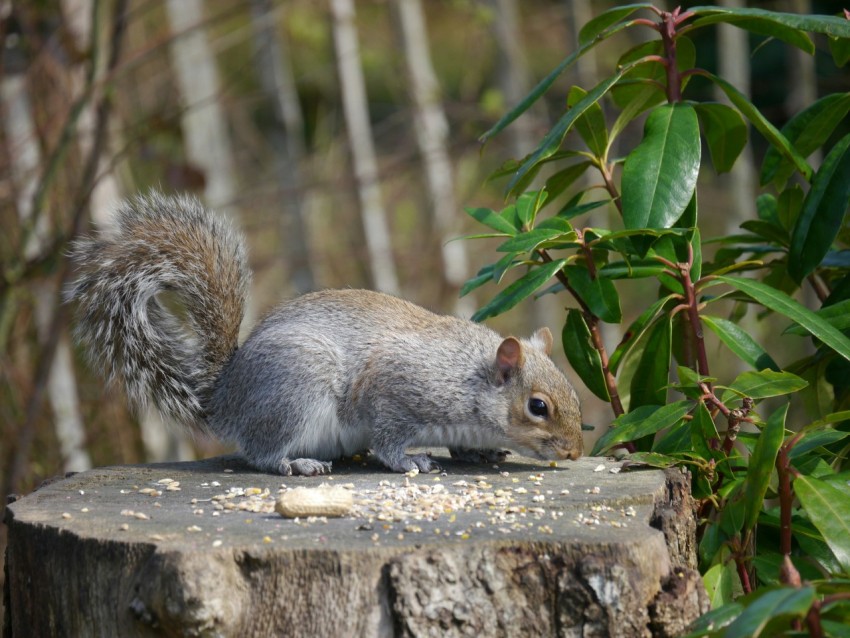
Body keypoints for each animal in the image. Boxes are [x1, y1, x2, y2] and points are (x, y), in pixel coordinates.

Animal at [68, 192, 584, 478]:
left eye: (575, 397)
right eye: (538, 407)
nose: (575, 451)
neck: (468, 376)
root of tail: (224, 398)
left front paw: (480, 452)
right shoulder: (397, 391)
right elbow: (389, 437)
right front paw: (412, 461)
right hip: (296, 388)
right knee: (261, 453)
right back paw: (295, 464)